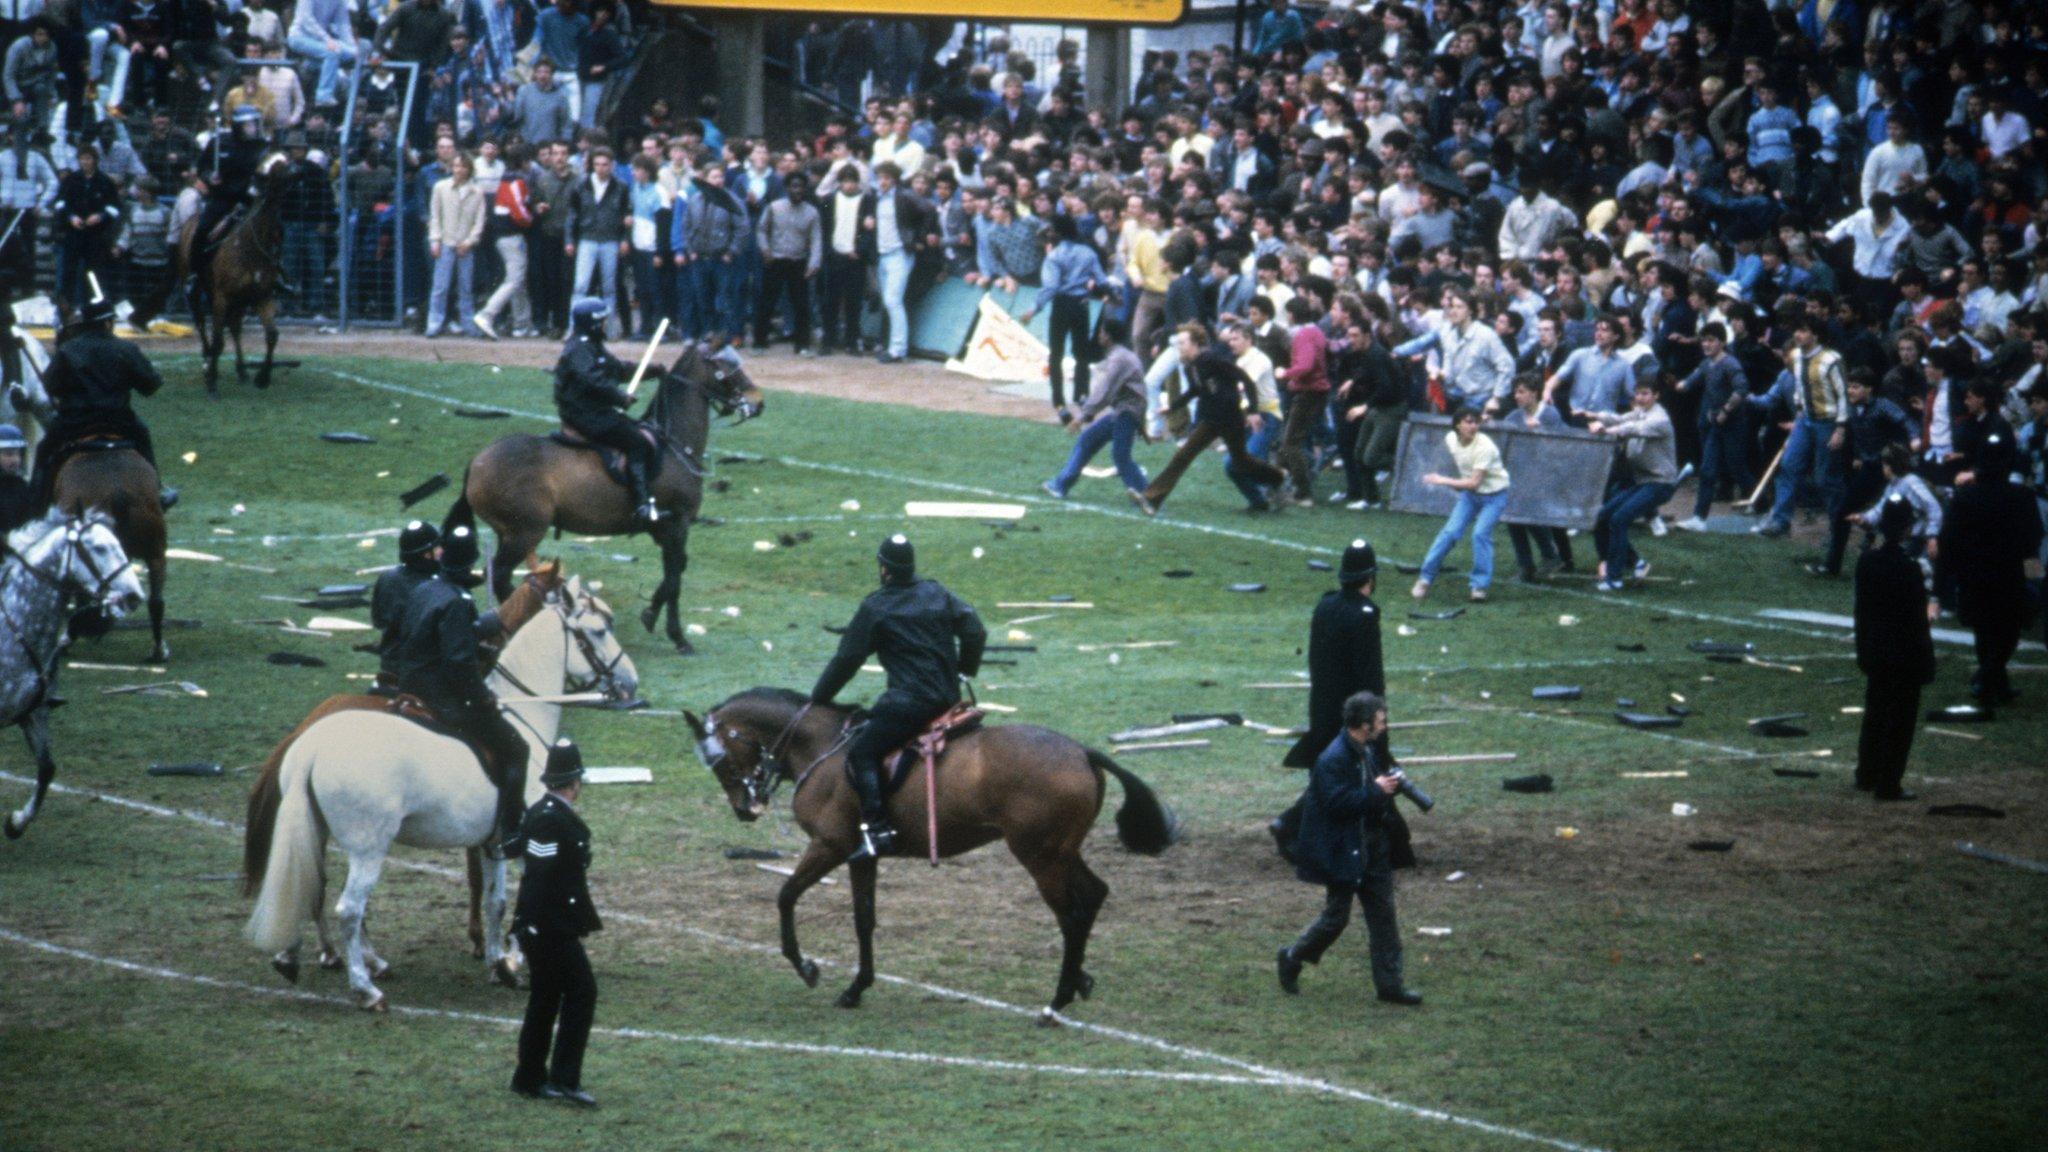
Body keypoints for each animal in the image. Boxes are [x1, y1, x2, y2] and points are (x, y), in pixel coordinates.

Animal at [244, 573, 634, 1004]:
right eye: (598, 631)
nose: (629, 685)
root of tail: (310, 742)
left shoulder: (490, 842)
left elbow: (496, 900)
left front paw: (500, 962)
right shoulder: (521, 839)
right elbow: (510, 900)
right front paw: (511, 961)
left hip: (316, 831)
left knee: (309, 886)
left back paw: (298, 957)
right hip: (368, 848)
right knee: (348, 908)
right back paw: (365, 987)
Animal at [448, 340, 761, 651]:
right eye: (726, 366)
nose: (758, 402)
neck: (672, 445)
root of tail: (477, 461)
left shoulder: (664, 530)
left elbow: (675, 571)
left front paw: (652, 614)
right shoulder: (677, 524)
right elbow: (674, 579)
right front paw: (676, 635)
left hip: (509, 534)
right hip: (523, 533)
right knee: (500, 574)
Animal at [684, 680, 1179, 1012]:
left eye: (718, 760)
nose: (745, 809)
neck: (824, 748)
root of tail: (1080, 751)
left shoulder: (829, 846)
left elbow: (786, 896)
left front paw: (807, 968)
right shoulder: (862, 856)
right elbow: (864, 919)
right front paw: (857, 987)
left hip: (1039, 856)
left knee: (1071, 916)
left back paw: (1056, 1001)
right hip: (1061, 851)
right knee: (1093, 896)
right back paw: (1079, 981)